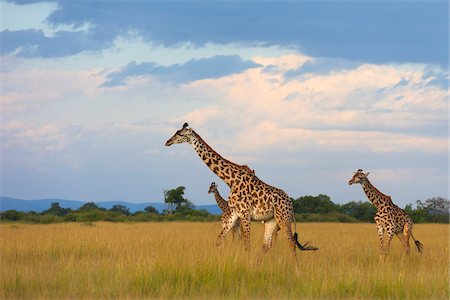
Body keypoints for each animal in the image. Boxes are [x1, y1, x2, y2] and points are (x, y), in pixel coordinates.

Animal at [164, 122, 316, 258]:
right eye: (176, 131)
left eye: (180, 134)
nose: (167, 142)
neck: (230, 180)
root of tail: (291, 204)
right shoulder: (234, 214)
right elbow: (219, 240)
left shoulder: (245, 214)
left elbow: (246, 244)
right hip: (270, 221)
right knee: (266, 245)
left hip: (283, 219)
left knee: (291, 243)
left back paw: (296, 270)